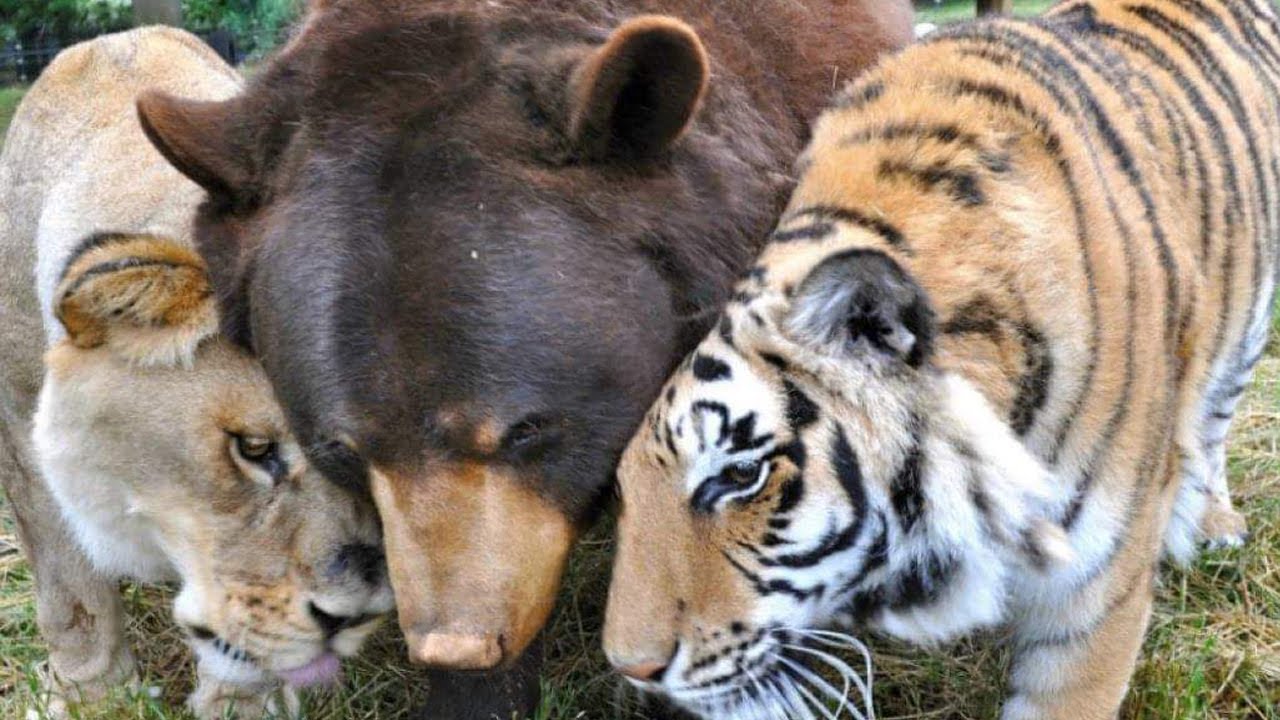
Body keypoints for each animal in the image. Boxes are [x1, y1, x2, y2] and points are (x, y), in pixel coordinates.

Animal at [0, 26, 394, 712]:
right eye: (254, 449)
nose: (357, 615)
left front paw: (241, 707)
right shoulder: (19, 424)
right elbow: (69, 589)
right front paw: (91, 697)